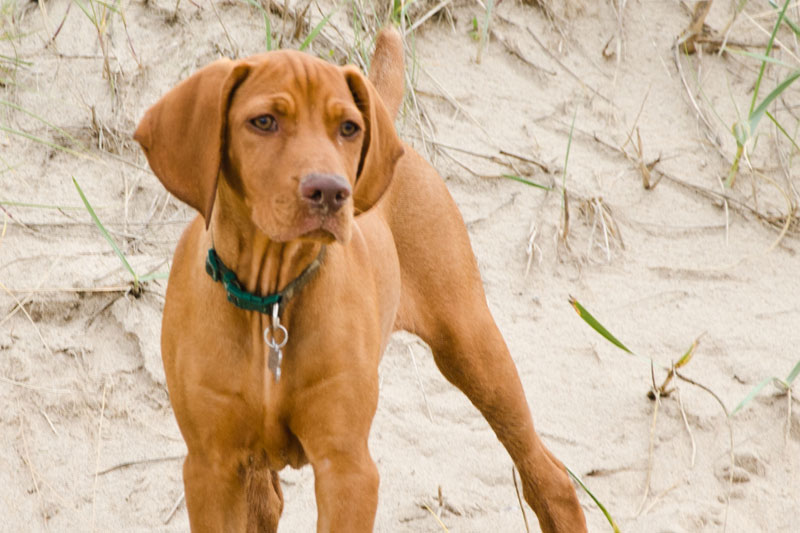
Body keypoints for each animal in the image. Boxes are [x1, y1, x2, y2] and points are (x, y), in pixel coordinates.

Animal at [134, 28, 588, 532]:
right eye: (264, 121)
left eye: (348, 129)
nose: (332, 192)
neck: (271, 295)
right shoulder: (210, 467)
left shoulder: (347, 466)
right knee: (266, 501)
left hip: (472, 345)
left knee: (548, 475)